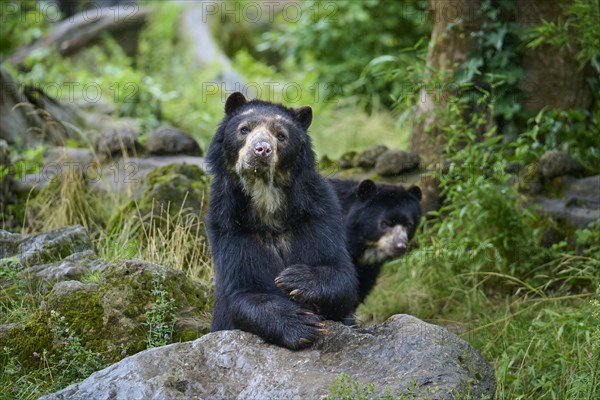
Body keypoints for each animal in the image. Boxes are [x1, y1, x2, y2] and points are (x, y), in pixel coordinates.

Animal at [204, 92, 358, 348]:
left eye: (281, 136)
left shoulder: (317, 214)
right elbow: (244, 291)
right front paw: (302, 325)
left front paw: (295, 279)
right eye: (244, 129)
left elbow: (343, 276)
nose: (261, 150)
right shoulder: (231, 225)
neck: (268, 204)